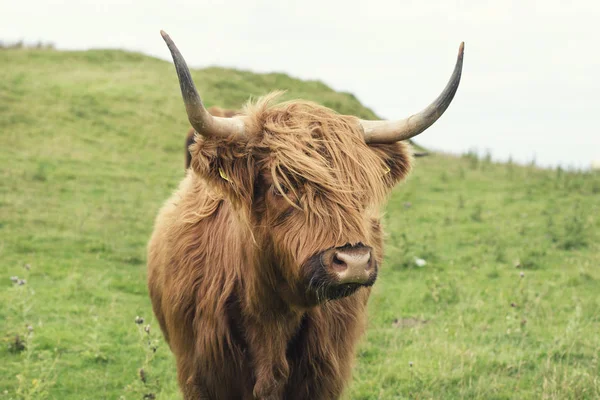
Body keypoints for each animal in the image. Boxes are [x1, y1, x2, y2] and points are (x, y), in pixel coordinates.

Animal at [148, 32, 466, 400]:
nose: (354, 262)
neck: (270, 315)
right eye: (281, 184)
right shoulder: (202, 376)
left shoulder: (324, 377)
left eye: (361, 187)